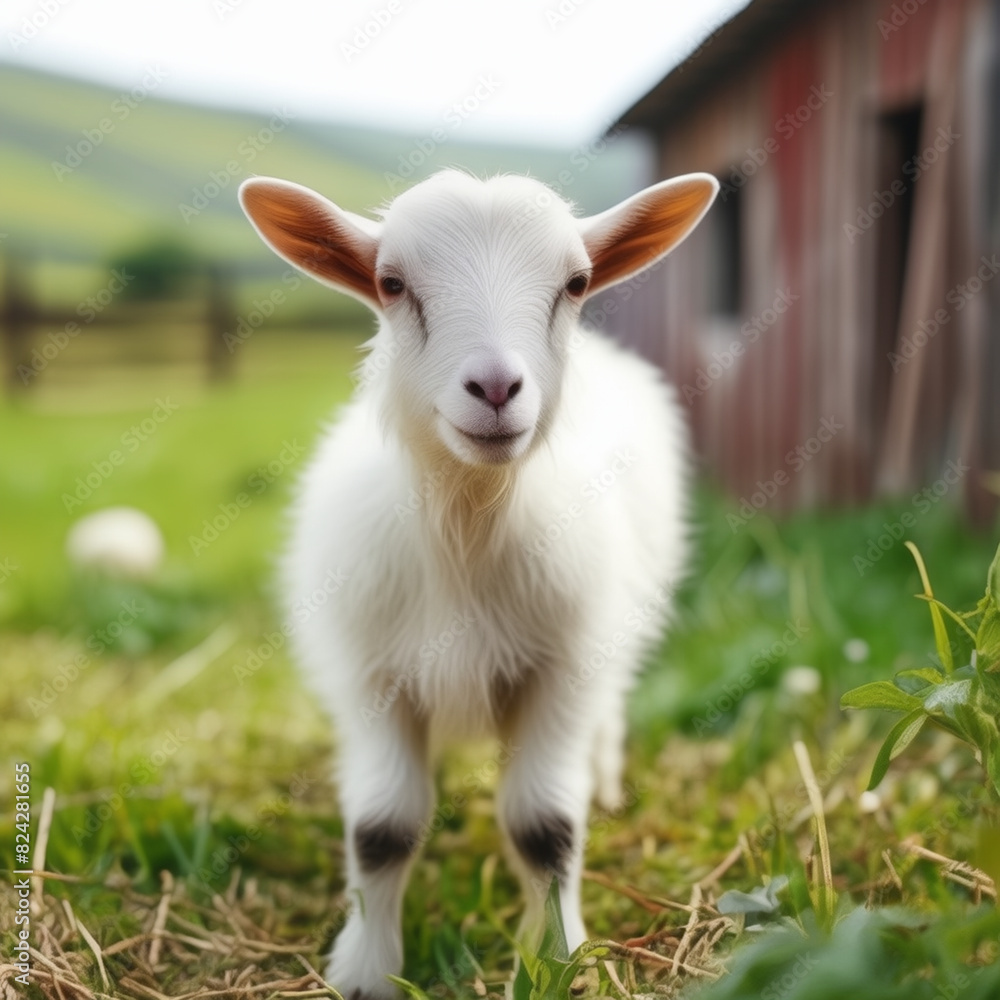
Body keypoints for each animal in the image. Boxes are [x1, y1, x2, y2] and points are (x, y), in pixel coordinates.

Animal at [239, 168, 718, 1000]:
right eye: (391, 283)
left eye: (576, 283)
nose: (495, 387)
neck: (468, 524)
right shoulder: (373, 676)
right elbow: (383, 826)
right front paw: (366, 969)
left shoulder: (565, 667)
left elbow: (545, 825)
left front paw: (558, 956)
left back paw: (607, 782)